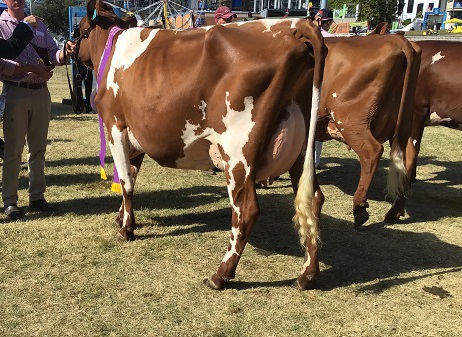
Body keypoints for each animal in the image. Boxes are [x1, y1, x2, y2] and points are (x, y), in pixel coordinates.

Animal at [76, 0, 324, 288]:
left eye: (80, 30)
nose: (68, 47)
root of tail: (293, 27)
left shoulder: (116, 126)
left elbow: (126, 181)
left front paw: (126, 229)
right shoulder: (134, 136)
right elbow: (133, 176)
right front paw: (123, 218)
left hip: (237, 152)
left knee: (246, 209)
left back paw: (221, 274)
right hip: (301, 147)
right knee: (312, 200)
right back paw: (307, 274)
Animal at [316, 35, 420, 226]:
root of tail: (394, 38)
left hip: (351, 120)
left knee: (372, 151)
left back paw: (359, 209)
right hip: (403, 121)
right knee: (409, 154)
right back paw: (395, 211)